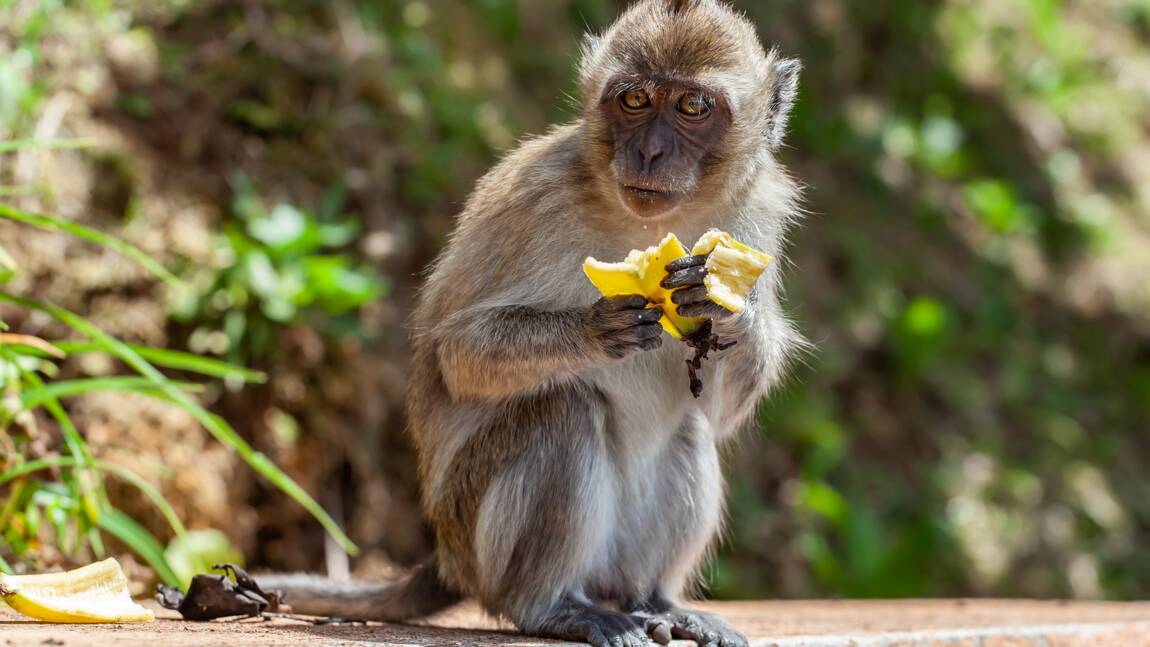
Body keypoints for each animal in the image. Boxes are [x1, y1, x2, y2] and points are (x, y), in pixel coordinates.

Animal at [257, 1, 805, 647]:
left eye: (693, 106)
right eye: (635, 99)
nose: (649, 152)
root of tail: (449, 558)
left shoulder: (760, 213)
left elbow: (721, 412)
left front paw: (722, 304)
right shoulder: (534, 197)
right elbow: (457, 354)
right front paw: (592, 331)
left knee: (689, 432)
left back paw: (657, 601)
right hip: (477, 534)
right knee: (562, 412)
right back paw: (549, 606)